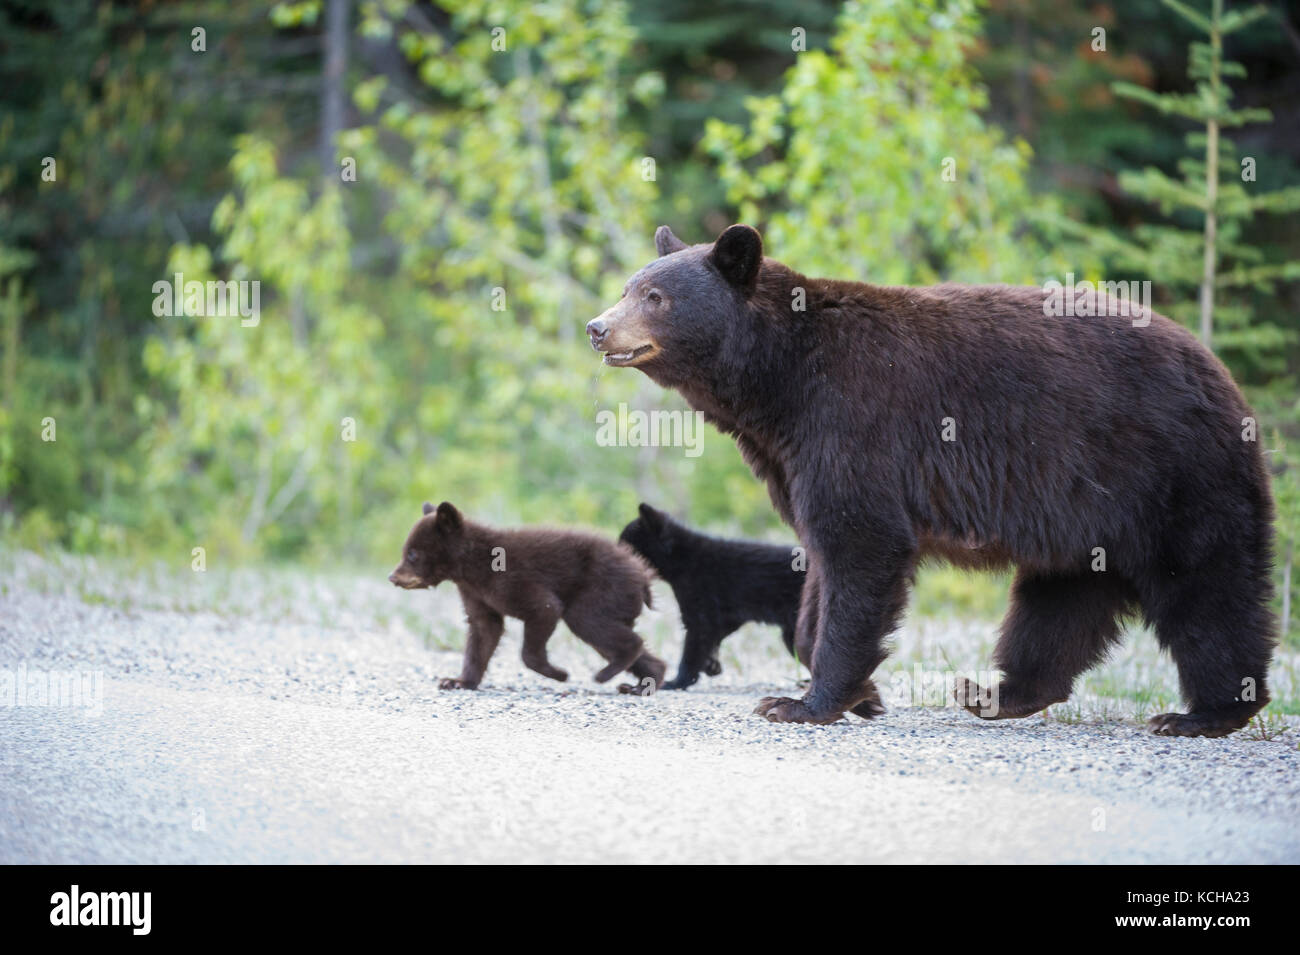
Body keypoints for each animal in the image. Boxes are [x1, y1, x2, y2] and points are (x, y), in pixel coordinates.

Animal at [592, 223, 1279, 738]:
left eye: (655, 296)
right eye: (629, 286)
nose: (599, 327)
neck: (777, 381)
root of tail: (1221, 374)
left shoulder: (851, 424)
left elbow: (861, 545)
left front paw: (803, 703)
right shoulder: (792, 455)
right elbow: (820, 565)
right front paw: (854, 692)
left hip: (1173, 474)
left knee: (1206, 585)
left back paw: (1205, 712)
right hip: (1088, 511)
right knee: (1061, 599)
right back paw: (998, 693)